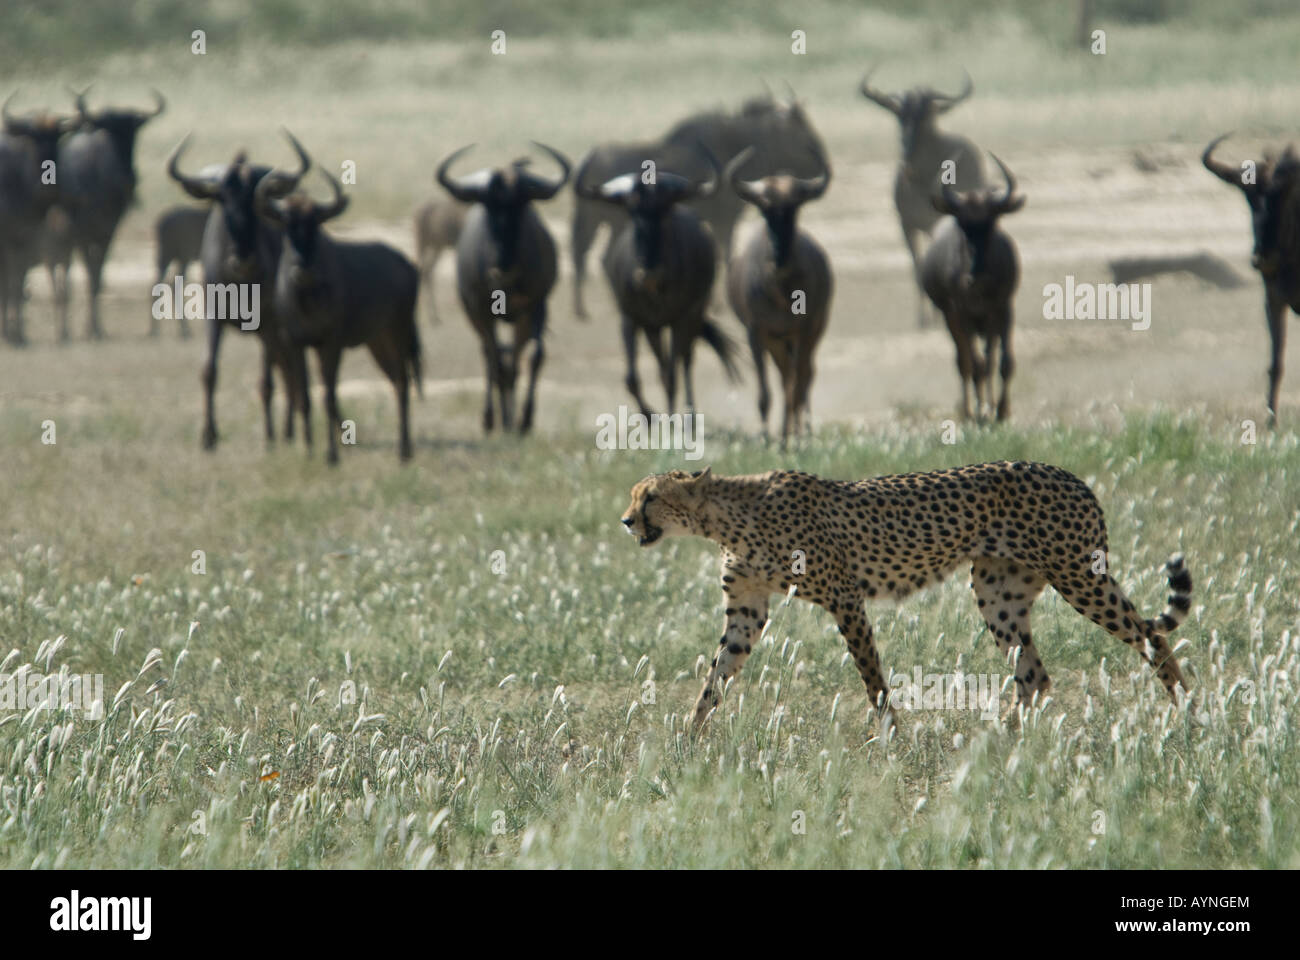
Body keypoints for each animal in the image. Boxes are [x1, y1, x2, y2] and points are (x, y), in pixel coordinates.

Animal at [624, 460, 1190, 723]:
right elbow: (714, 678)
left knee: (1151, 637)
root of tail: (1074, 476)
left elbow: (872, 679)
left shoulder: (845, 598)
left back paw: (1186, 712)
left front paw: (890, 736)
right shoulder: (747, 611)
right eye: (635, 496)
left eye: (650, 497)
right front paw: (687, 739)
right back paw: (1004, 744)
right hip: (997, 592)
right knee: (1034, 674)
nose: (626, 521)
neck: (728, 518)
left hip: (1078, 576)